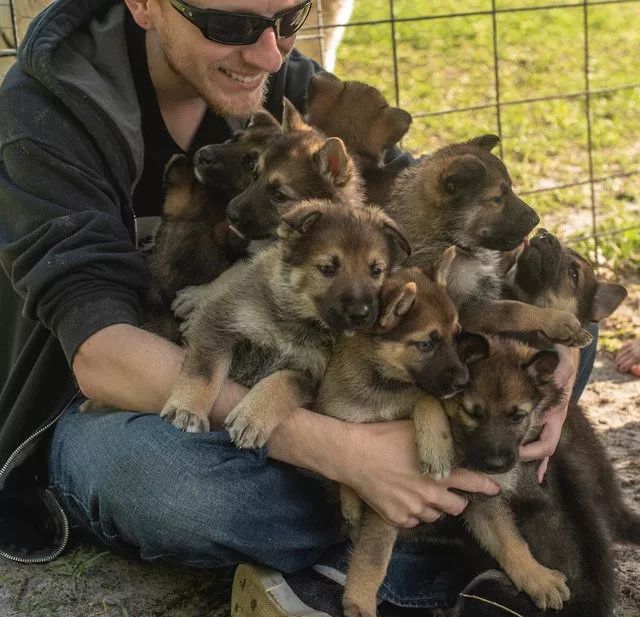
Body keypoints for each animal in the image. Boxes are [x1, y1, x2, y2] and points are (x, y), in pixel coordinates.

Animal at [160, 197, 410, 442]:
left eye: (376, 271)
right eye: (327, 268)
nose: (361, 314)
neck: (298, 319)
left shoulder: (307, 373)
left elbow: (280, 383)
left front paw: (252, 417)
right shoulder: (219, 322)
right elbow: (204, 373)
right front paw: (187, 410)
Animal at [316, 253, 490, 612]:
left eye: (456, 335)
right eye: (425, 344)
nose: (464, 381)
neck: (381, 385)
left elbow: (426, 398)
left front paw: (437, 448)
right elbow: (372, 552)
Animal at [382, 133, 592, 348]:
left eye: (511, 189)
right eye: (497, 199)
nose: (537, 220)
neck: (446, 238)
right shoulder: (467, 309)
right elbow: (515, 309)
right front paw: (558, 321)